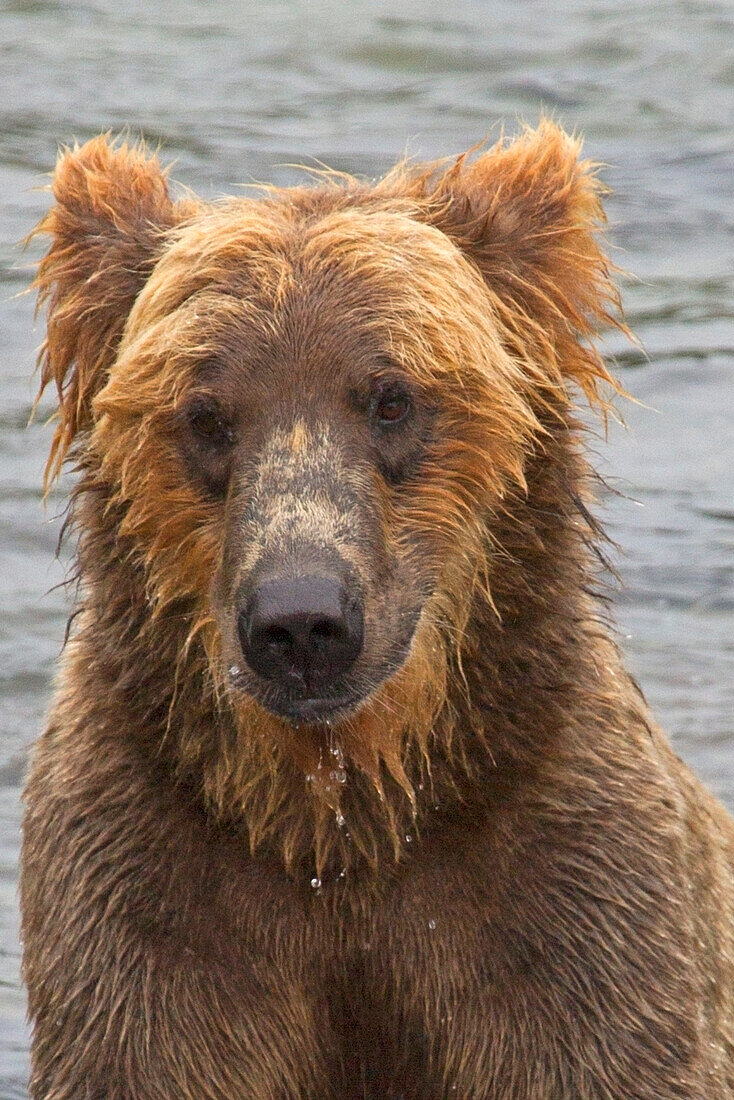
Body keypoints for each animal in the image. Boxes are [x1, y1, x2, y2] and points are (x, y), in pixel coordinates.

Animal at [21, 122, 734, 1100]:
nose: (301, 622)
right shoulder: (146, 899)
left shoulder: (568, 899)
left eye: (393, 397)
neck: (343, 816)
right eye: (205, 414)